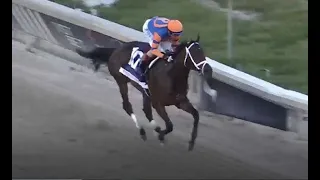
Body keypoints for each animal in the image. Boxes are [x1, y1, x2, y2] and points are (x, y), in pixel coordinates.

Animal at [75, 34, 212, 150]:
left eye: (202, 52)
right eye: (194, 53)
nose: (208, 69)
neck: (171, 76)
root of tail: (116, 50)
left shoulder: (180, 102)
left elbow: (196, 115)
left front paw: (191, 143)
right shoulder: (158, 103)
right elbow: (170, 126)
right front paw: (161, 136)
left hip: (145, 93)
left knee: (146, 111)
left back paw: (155, 129)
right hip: (121, 81)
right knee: (127, 106)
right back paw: (143, 131)